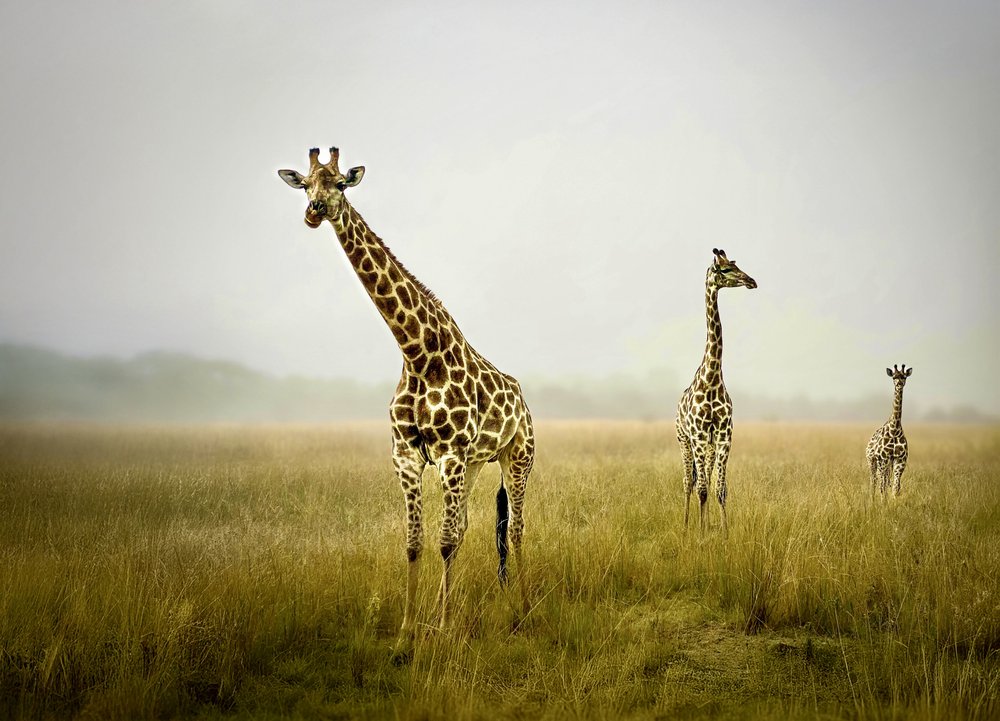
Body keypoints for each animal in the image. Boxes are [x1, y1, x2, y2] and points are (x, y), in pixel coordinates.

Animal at [278, 148, 534, 656]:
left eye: (340, 183)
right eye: (306, 185)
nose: (314, 212)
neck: (416, 352)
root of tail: (523, 399)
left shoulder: (450, 452)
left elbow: (444, 542)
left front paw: (445, 628)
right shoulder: (407, 455)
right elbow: (417, 541)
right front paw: (408, 635)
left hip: (517, 456)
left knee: (514, 527)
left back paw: (520, 607)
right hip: (478, 463)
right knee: (470, 525)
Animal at [675, 248, 757, 536]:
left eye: (734, 263)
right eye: (724, 270)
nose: (751, 281)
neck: (711, 378)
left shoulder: (723, 435)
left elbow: (719, 488)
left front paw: (724, 531)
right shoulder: (698, 435)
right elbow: (701, 488)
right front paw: (700, 534)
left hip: (708, 446)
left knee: (706, 479)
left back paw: (706, 521)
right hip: (684, 440)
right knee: (688, 482)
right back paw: (687, 524)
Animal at [866, 364, 913, 499]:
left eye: (903, 376)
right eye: (894, 377)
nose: (899, 384)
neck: (895, 429)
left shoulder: (900, 460)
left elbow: (895, 487)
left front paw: (893, 502)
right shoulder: (883, 458)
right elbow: (882, 487)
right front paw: (883, 502)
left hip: (888, 464)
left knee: (885, 482)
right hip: (872, 461)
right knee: (874, 482)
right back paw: (872, 499)